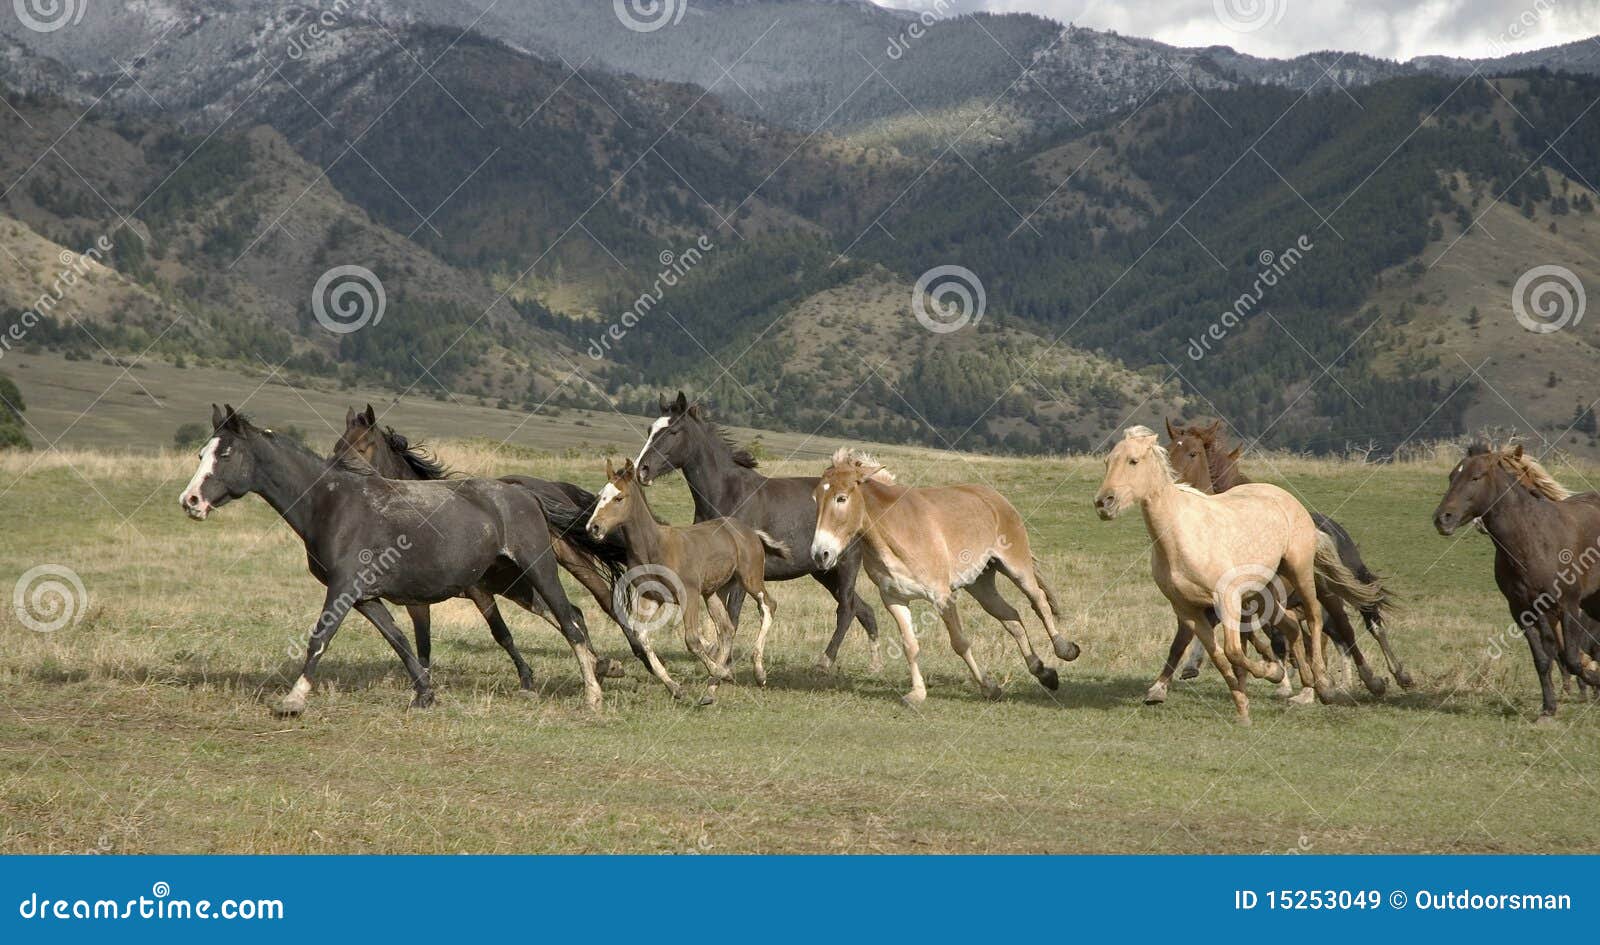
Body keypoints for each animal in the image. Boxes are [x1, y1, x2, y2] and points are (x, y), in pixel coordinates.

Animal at [630, 391, 883, 671]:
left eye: (673, 431)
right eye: (650, 429)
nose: (641, 470)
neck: (728, 495)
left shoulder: (740, 576)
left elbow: (732, 617)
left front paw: (725, 663)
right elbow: (718, 618)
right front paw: (715, 655)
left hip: (846, 564)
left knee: (847, 609)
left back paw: (825, 661)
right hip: (824, 571)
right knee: (864, 609)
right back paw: (874, 664)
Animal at [806, 447, 1081, 706]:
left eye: (841, 498)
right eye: (816, 499)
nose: (820, 554)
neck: (894, 534)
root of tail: (995, 499)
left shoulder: (942, 597)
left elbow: (959, 642)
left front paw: (988, 688)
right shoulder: (894, 599)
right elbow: (910, 646)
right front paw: (917, 693)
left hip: (1017, 568)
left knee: (1039, 602)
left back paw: (1065, 649)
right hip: (981, 585)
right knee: (1011, 617)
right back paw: (1043, 672)